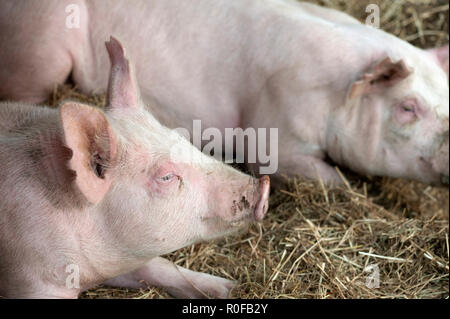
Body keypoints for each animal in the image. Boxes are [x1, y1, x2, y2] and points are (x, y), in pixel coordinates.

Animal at [0, 37, 268, 300]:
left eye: (183, 141)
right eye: (167, 177)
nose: (262, 186)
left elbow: (160, 266)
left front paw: (230, 288)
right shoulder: (32, 281)